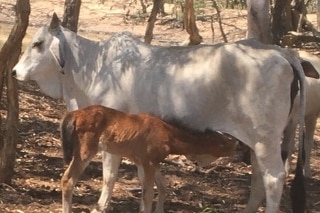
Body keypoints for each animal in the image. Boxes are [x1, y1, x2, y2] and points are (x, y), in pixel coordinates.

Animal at [60, 105, 236, 213]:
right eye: (225, 142)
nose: (238, 145)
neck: (169, 133)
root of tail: (73, 114)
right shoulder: (150, 163)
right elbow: (149, 193)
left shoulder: (145, 162)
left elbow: (162, 186)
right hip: (85, 152)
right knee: (68, 180)